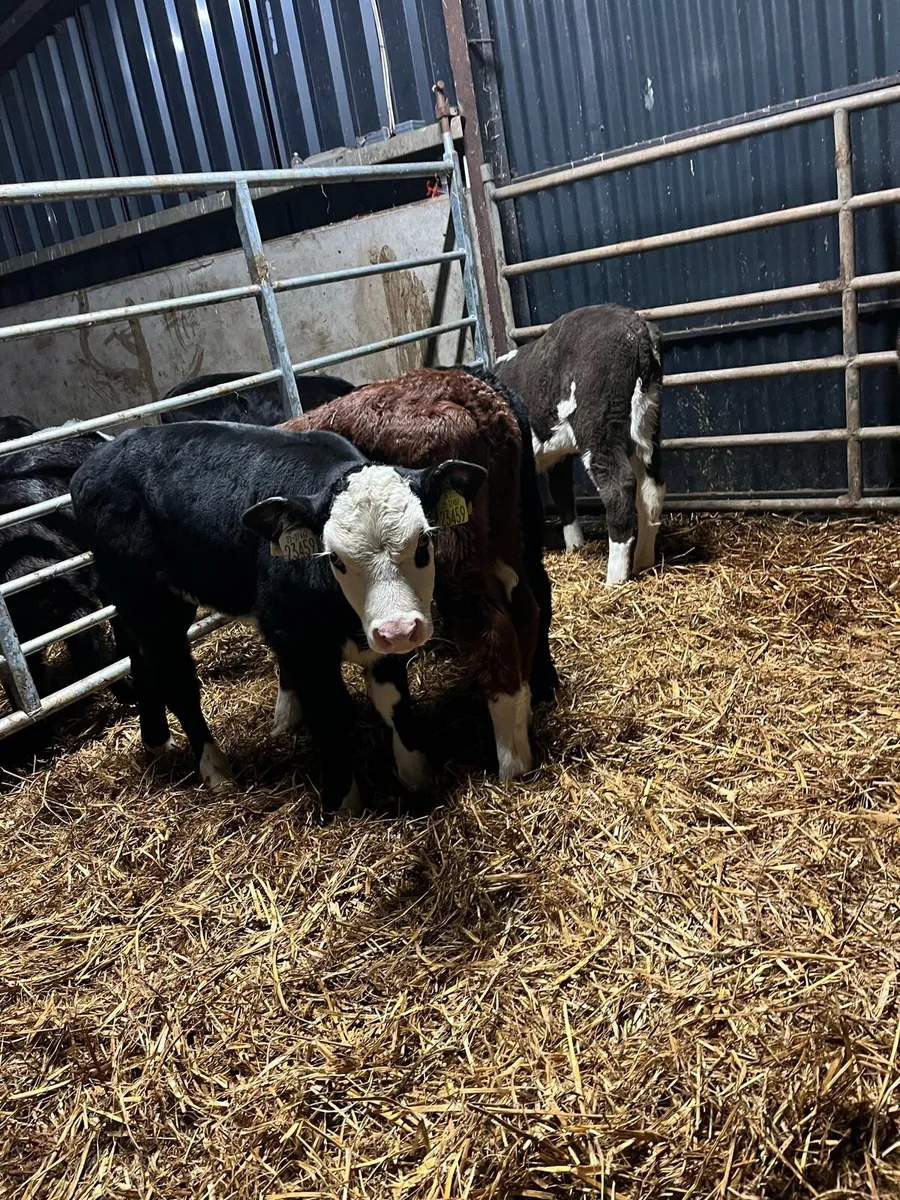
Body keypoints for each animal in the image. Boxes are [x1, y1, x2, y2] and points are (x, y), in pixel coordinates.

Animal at [69, 420, 493, 815]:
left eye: (424, 541)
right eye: (335, 558)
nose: (400, 631)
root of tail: (95, 461)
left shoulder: (379, 636)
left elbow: (393, 701)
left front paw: (416, 773)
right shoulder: (295, 637)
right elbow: (330, 714)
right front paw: (343, 802)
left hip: (129, 600)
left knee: (137, 657)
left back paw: (157, 740)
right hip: (153, 602)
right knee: (179, 683)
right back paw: (215, 770)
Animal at [495, 305, 665, 585]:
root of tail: (636, 327)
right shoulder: (557, 455)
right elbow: (561, 491)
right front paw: (575, 545)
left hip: (598, 424)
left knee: (619, 486)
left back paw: (615, 578)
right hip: (649, 421)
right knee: (652, 487)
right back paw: (643, 561)